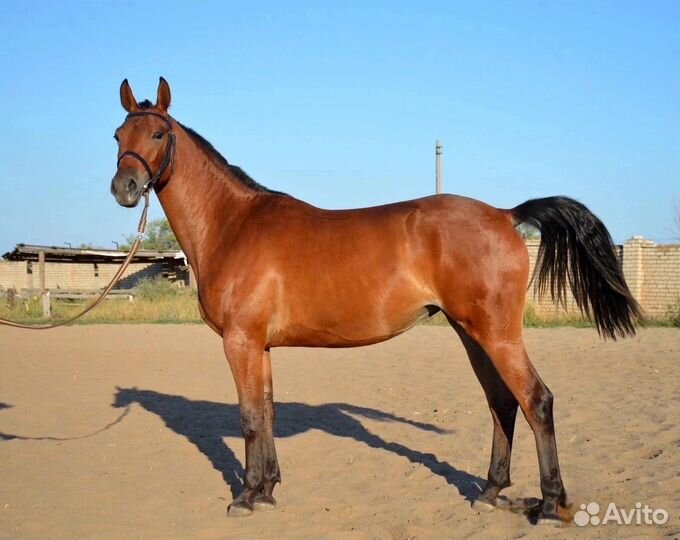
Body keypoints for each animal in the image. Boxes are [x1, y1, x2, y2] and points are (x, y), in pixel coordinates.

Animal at [110, 77, 642, 524]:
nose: (124, 188)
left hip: (496, 333)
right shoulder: (260, 346)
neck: (234, 225)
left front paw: (244, 496)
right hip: (472, 334)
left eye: (158, 133)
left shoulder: (240, 342)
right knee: (502, 403)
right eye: (118, 135)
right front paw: (267, 490)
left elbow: (249, 417)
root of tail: (505, 215)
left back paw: (550, 504)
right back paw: (490, 491)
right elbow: (267, 412)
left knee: (536, 400)